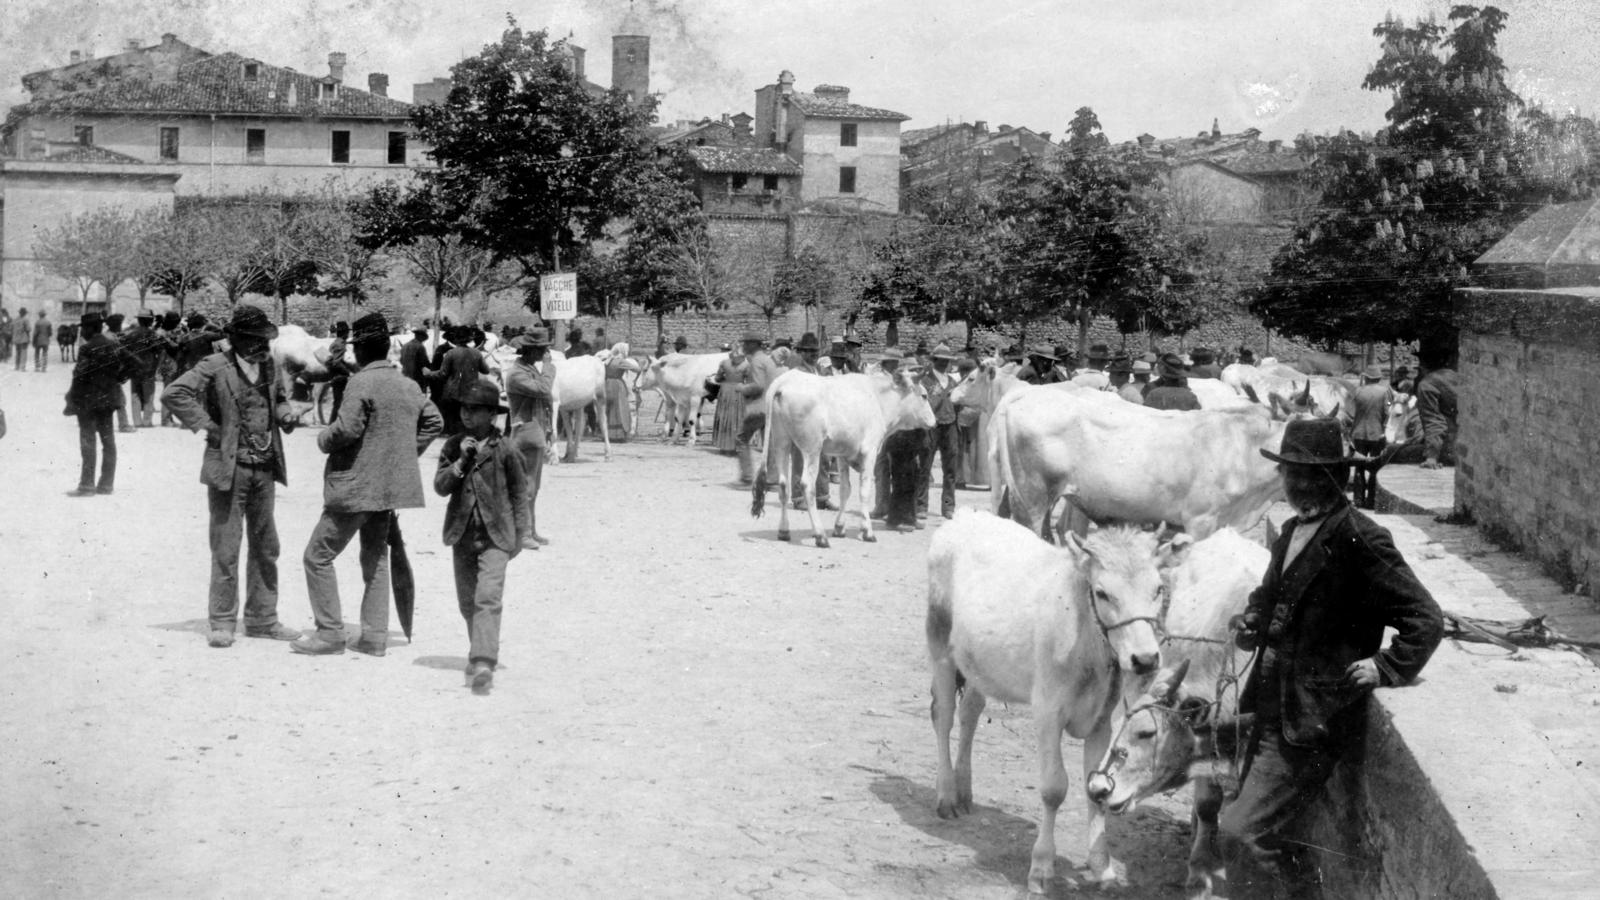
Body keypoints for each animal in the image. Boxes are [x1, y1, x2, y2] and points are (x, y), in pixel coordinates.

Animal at [748, 366, 934, 547]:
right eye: (924, 396)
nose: (934, 422)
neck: (878, 398)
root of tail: (784, 380)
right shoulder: (869, 451)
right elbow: (864, 491)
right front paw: (867, 531)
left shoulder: (843, 455)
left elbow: (845, 489)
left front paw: (839, 527)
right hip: (812, 449)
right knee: (807, 485)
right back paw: (820, 536)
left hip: (781, 443)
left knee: (783, 485)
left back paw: (784, 531)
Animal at [928, 506, 1190, 890]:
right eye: (1102, 592)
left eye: (1158, 588)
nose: (1144, 659)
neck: (1086, 642)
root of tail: (967, 514)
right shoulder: (1048, 712)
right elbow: (1054, 788)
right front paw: (1041, 867)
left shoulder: (1101, 721)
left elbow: (1095, 787)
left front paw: (1102, 868)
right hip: (940, 645)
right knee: (944, 715)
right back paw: (947, 794)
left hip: (979, 663)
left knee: (970, 714)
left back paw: (964, 789)